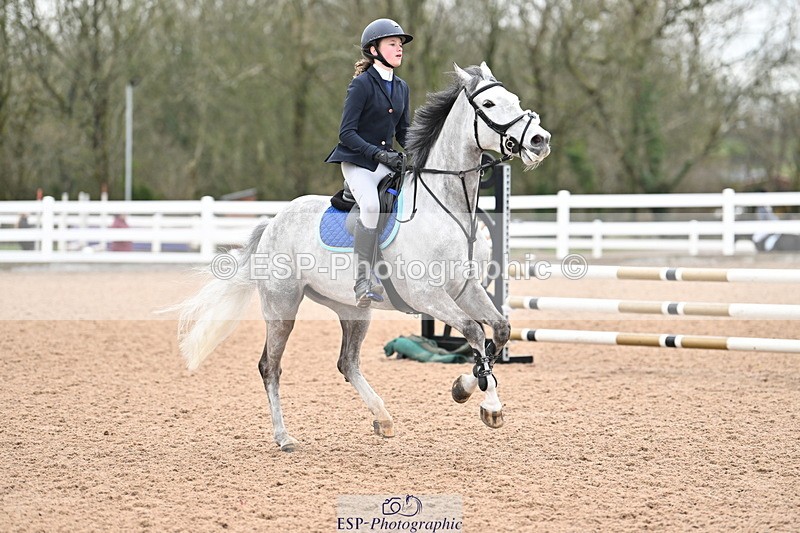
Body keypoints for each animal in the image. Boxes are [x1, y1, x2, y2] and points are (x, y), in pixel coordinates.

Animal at [175, 62, 550, 452]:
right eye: (489, 104)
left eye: (514, 99)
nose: (540, 141)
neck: (442, 207)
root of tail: (273, 222)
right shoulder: (428, 296)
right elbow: (474, 331)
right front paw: (480, 398)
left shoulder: (465, 287)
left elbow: (499, 331)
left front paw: (471, 388)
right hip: (282, 306)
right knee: (271, 366)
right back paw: (284, 437)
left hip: (353, 310)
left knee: (347, 362)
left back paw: (382, 418)